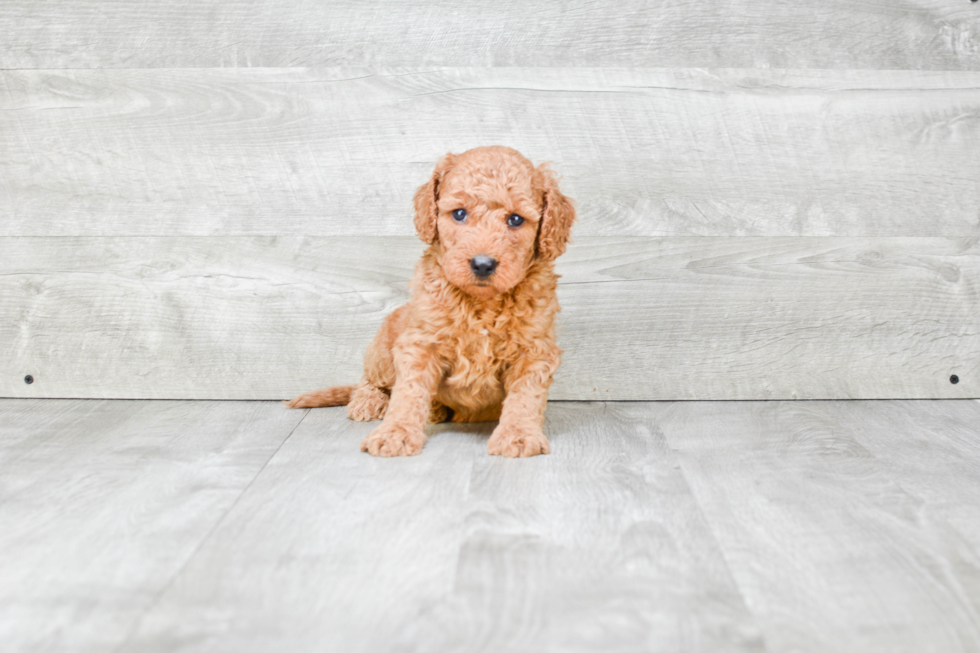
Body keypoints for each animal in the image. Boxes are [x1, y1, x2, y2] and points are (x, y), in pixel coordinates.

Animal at [284, 145, 576, 456]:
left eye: (516, 219)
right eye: (459, 213)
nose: (482, 264)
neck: (482, 303)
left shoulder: (534, 350)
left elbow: (524, 396)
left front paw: (518, 434)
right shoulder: (420, 343)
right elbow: (408, 392)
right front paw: (395, 432)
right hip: (383, 347)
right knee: (371, 380)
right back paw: (369, 401)